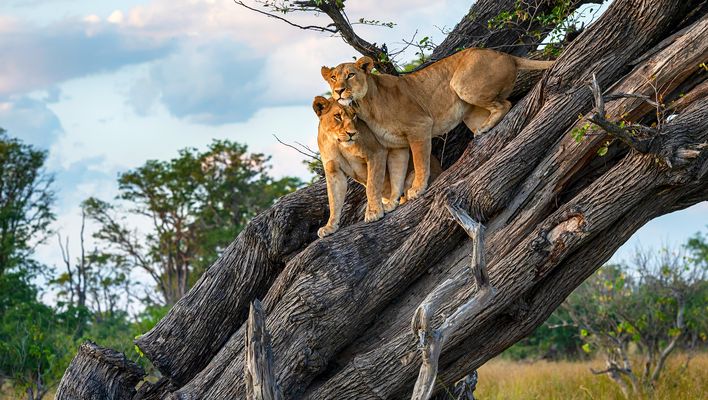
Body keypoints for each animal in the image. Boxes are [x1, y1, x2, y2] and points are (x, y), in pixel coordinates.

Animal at [313, 96, 441, 238]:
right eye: (337, 116)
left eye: (354, 116)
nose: (352, 133)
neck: (337, 143)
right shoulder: (333, 171)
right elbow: (333, 200)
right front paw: (330, 227)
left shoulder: (376, 153)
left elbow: (372, 186)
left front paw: (373, 212)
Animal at [321, 48, 554, 200]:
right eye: (333, 77)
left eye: (351, 75)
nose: (338, 91)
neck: (364, 105)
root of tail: (506, 55)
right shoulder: (395, 145)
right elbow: (396, 173)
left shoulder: (420, 126)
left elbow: (420, 162)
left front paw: (417, 189)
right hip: (470, 111)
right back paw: (484, 128)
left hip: (461, 83)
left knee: (505, 104)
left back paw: (485, 128)